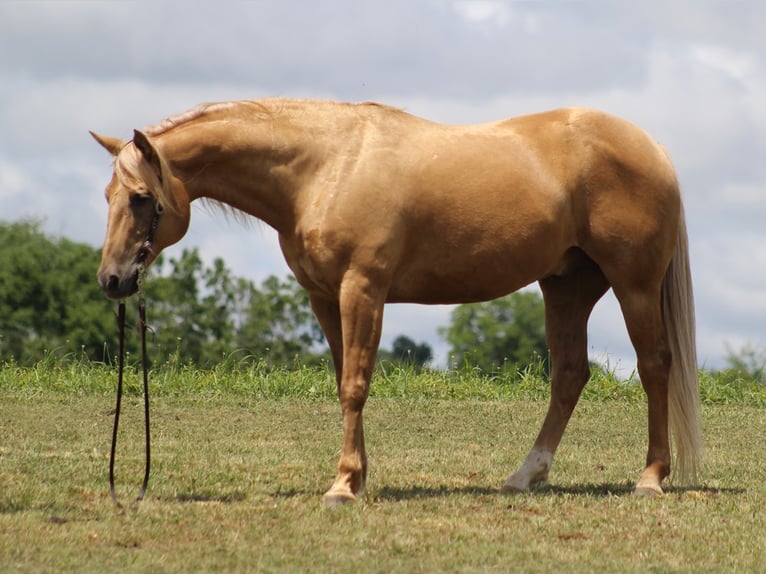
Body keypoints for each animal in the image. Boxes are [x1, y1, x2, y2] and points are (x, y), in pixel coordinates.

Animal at [93, 100, 704, 508]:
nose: (113, 279)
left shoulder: (363, 289)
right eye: (107, 195)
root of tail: (651, 148)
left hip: (634, 285)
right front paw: (355, 476)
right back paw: (524, 476)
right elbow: (344, 380)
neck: (325, 166)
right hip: (568, 288)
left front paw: (343, 486)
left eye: (142, 198)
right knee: (571, 375)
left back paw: (651, 477)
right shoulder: (324, 298)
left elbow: (355, 384)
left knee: (655, 367)